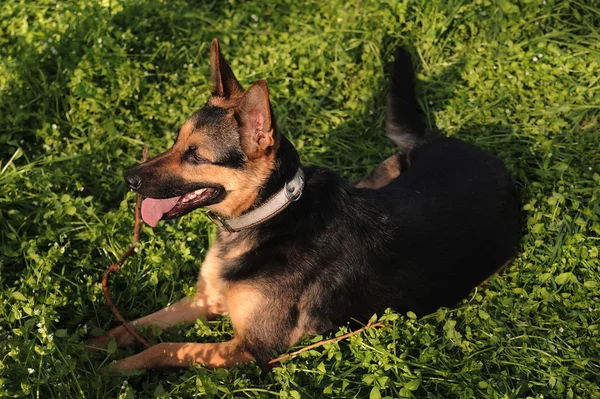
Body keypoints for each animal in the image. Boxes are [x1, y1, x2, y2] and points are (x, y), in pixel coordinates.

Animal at [85, 39, 520, 372]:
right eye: (177, 141)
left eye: (195, 156)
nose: (129, 178)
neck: (269, 215)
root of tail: (438, 139)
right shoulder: (205, 299)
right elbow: (137, 325)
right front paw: (88, 346)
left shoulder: (252, 349)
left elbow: (164, 347)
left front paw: (113, 370)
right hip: (375, 177)